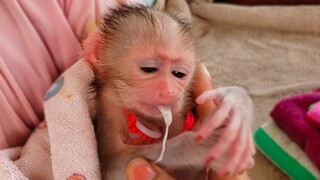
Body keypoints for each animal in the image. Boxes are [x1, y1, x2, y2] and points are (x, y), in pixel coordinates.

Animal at [84, 4, 252, 179]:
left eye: (179, 73)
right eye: (148, 68)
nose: (169, 92)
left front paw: (237, 104)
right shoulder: (109, 111)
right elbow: (114, 169)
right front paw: (199, 144)